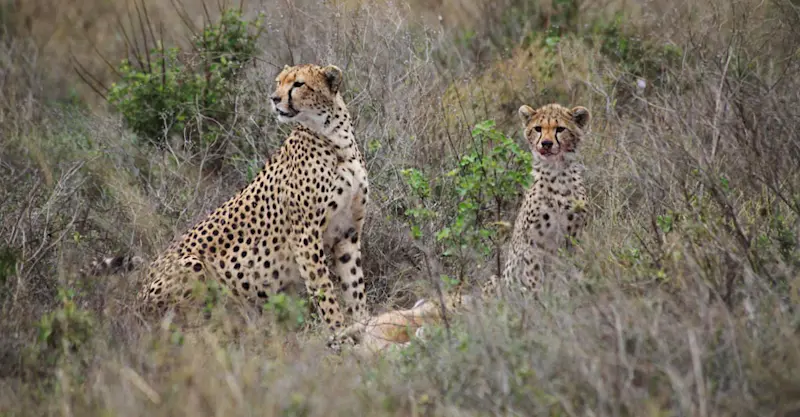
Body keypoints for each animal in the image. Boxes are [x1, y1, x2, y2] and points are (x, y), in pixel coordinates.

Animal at [88, 63, 370, 338]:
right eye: (279, 82)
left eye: (298, 84)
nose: (274, 98)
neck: (336, 139)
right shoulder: (304, 236)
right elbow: (324, 291)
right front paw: (339, 332)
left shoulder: (347, 232)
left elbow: (354, 286)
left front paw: (362, 326)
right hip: (192, 264)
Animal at [481, 102, 591, 297]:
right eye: (538, 128)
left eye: (560, 129)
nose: (546, 143)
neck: (556, 171)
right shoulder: (533, 243)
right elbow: (535, 276)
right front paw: (539, 299)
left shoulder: (575, 237)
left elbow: (573, 271)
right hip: (496, 281)